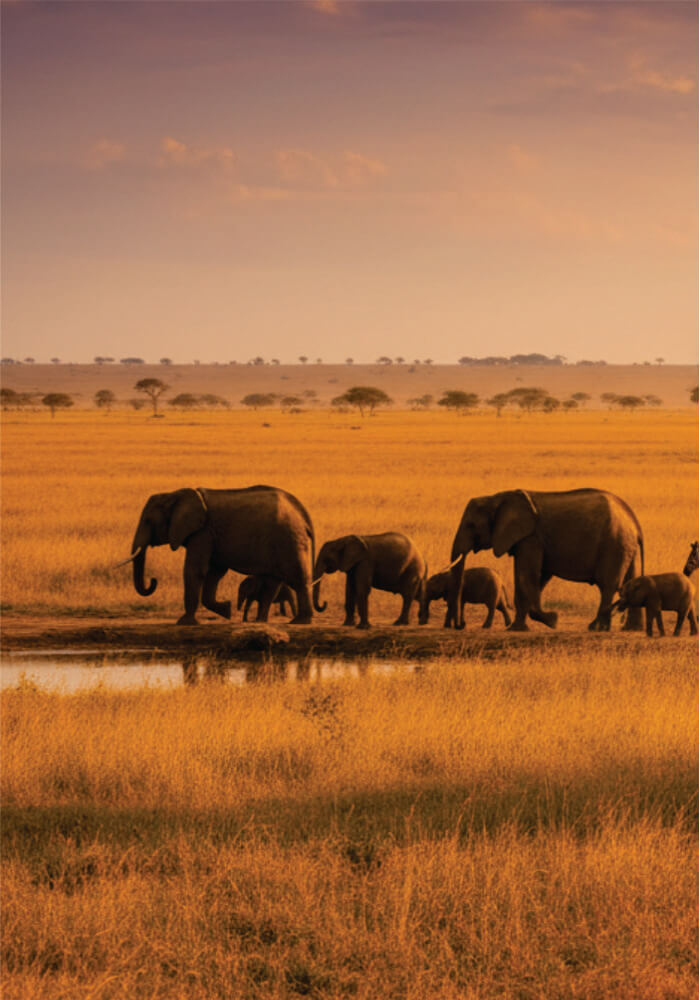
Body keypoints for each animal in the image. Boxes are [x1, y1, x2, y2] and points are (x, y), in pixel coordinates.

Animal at [120, 485, 315, 625]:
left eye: (148, 521)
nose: (153, 581)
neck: (176, 494)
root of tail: (301, 511)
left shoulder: (203, 532)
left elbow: (195, 570)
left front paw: (184, 623)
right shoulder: (209, 535)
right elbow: (214, 573)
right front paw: (226, 610)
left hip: (289, 539)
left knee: (297, 579)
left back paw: (300, 622)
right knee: (271, 584)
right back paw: (260, 621)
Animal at [446, 488, 644, 632]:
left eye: (471, 525)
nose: (461, 626)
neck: (497, 497)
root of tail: (633, 520)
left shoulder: (531, 538)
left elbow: (527, 576)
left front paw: (552, 620)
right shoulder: (526, 540)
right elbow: (533, 577)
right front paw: (517, 628)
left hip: (614, 544)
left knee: (607, 585)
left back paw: (597, 628)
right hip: (626, 545)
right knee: (630, 582)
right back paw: (630, 629)